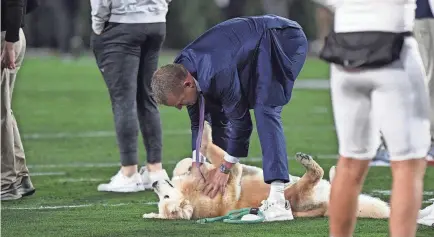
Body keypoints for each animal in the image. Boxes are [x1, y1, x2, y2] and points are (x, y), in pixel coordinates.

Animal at [142, 122, 390, 220]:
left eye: (163, 196)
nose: (154, 184)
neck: (192, 192)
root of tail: (325, 208)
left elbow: (189, 160)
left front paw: (198, 153)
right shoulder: (232, 174)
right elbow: (222, 158)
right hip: (297, 193)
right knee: (315, 176)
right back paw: (310, 164)